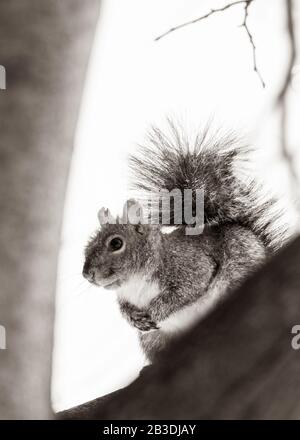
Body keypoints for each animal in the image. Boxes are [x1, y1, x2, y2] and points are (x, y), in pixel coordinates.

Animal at [83, 123, 290, 360]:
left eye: (116, 243)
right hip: (154, 341)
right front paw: (133, 318)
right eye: (87, 247)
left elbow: (185, 290)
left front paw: (155, 310)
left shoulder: (189, 266)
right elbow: (125, 310)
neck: (135, 282)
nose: (87, 275)